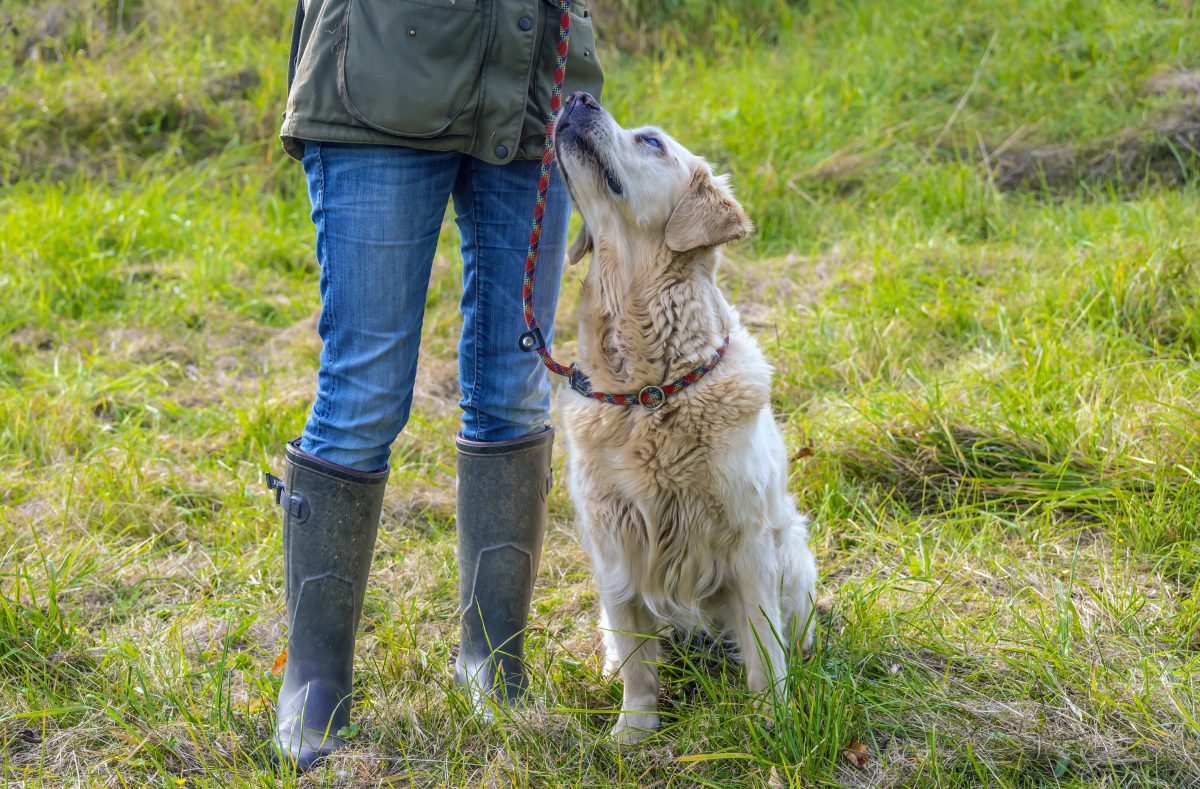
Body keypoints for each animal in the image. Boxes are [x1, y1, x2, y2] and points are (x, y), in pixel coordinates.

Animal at [554, 93, 820, 743]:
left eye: (651, 141)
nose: (578, 97)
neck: (650, 390)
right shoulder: (615, 538)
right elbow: (636, 654)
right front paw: (634, 730)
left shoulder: (747, 539)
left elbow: (763, 644)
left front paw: (772, 721)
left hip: (793, 554)